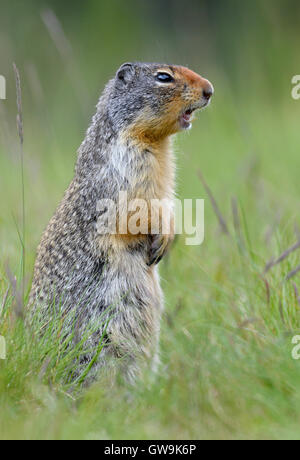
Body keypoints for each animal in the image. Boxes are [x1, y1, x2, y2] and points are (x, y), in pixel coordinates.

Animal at [29, 62, 213, 384]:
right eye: (163, 77)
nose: (210, 90)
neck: (155, 143)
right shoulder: (126, 170)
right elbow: (133, 213)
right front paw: (162, 236)